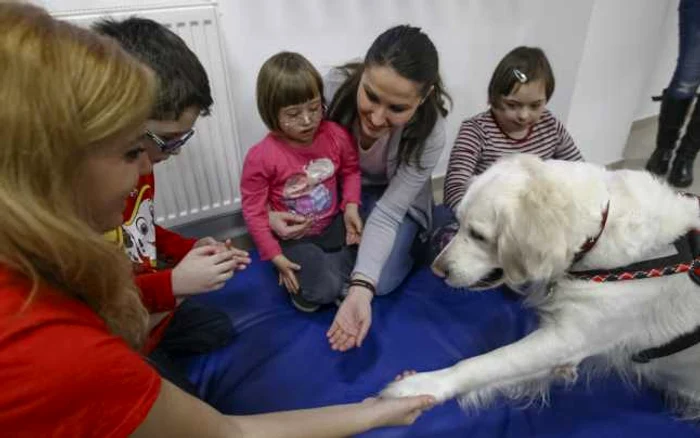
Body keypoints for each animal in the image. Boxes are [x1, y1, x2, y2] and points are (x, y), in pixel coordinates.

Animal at [380, 154, 700, 418]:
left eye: (478, 235)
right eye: (458, 223)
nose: (437, 270)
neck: (599, 233)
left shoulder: (568, 338)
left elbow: (484, 364)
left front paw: (422, 385)